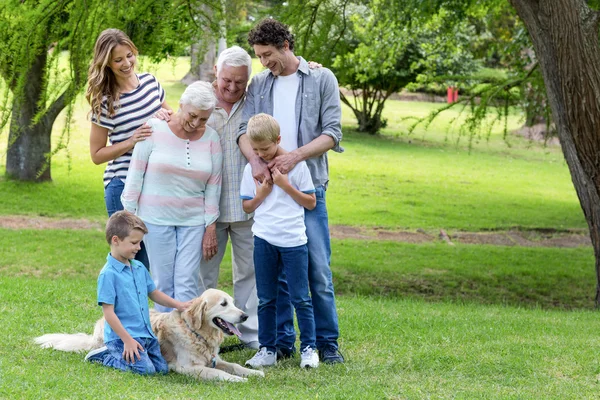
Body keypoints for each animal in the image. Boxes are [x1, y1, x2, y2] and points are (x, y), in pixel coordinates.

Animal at [34, 288, 264, 382]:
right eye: (223, 304)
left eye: (233, 302)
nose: (244, 316)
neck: (197, 333)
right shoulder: (187, 367)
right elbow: (218, 373)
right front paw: (238, 380)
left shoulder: (215, 358)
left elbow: (233, 365)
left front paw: (252, 373)